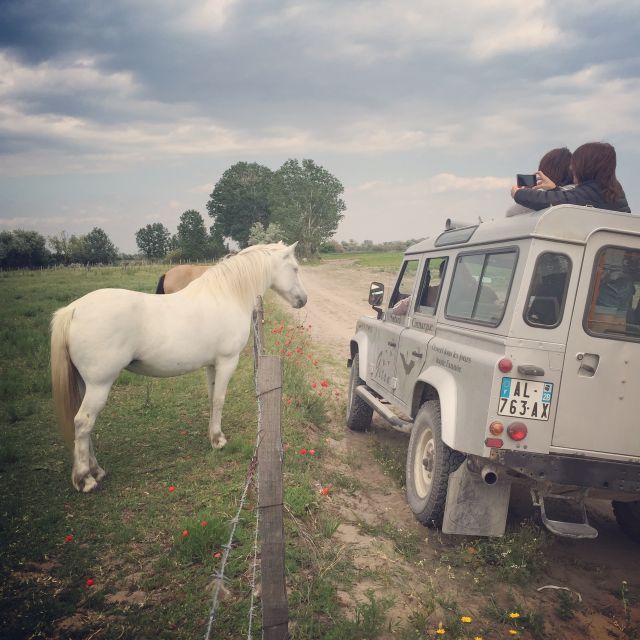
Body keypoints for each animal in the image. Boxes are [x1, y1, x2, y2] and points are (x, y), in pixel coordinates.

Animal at [51, 242, 306, 492]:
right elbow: (219, 400)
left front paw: (211, 436)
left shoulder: (211, 365)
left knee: (85, 427)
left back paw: (96, 470)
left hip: (85, 385)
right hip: (99, 385)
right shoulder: (227, 361)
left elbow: (212, 397)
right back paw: (85, 479)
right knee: (83, 422)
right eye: (294, 268)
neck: (227, 295)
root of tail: (72, 310)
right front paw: (218, 440)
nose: (303, 300)